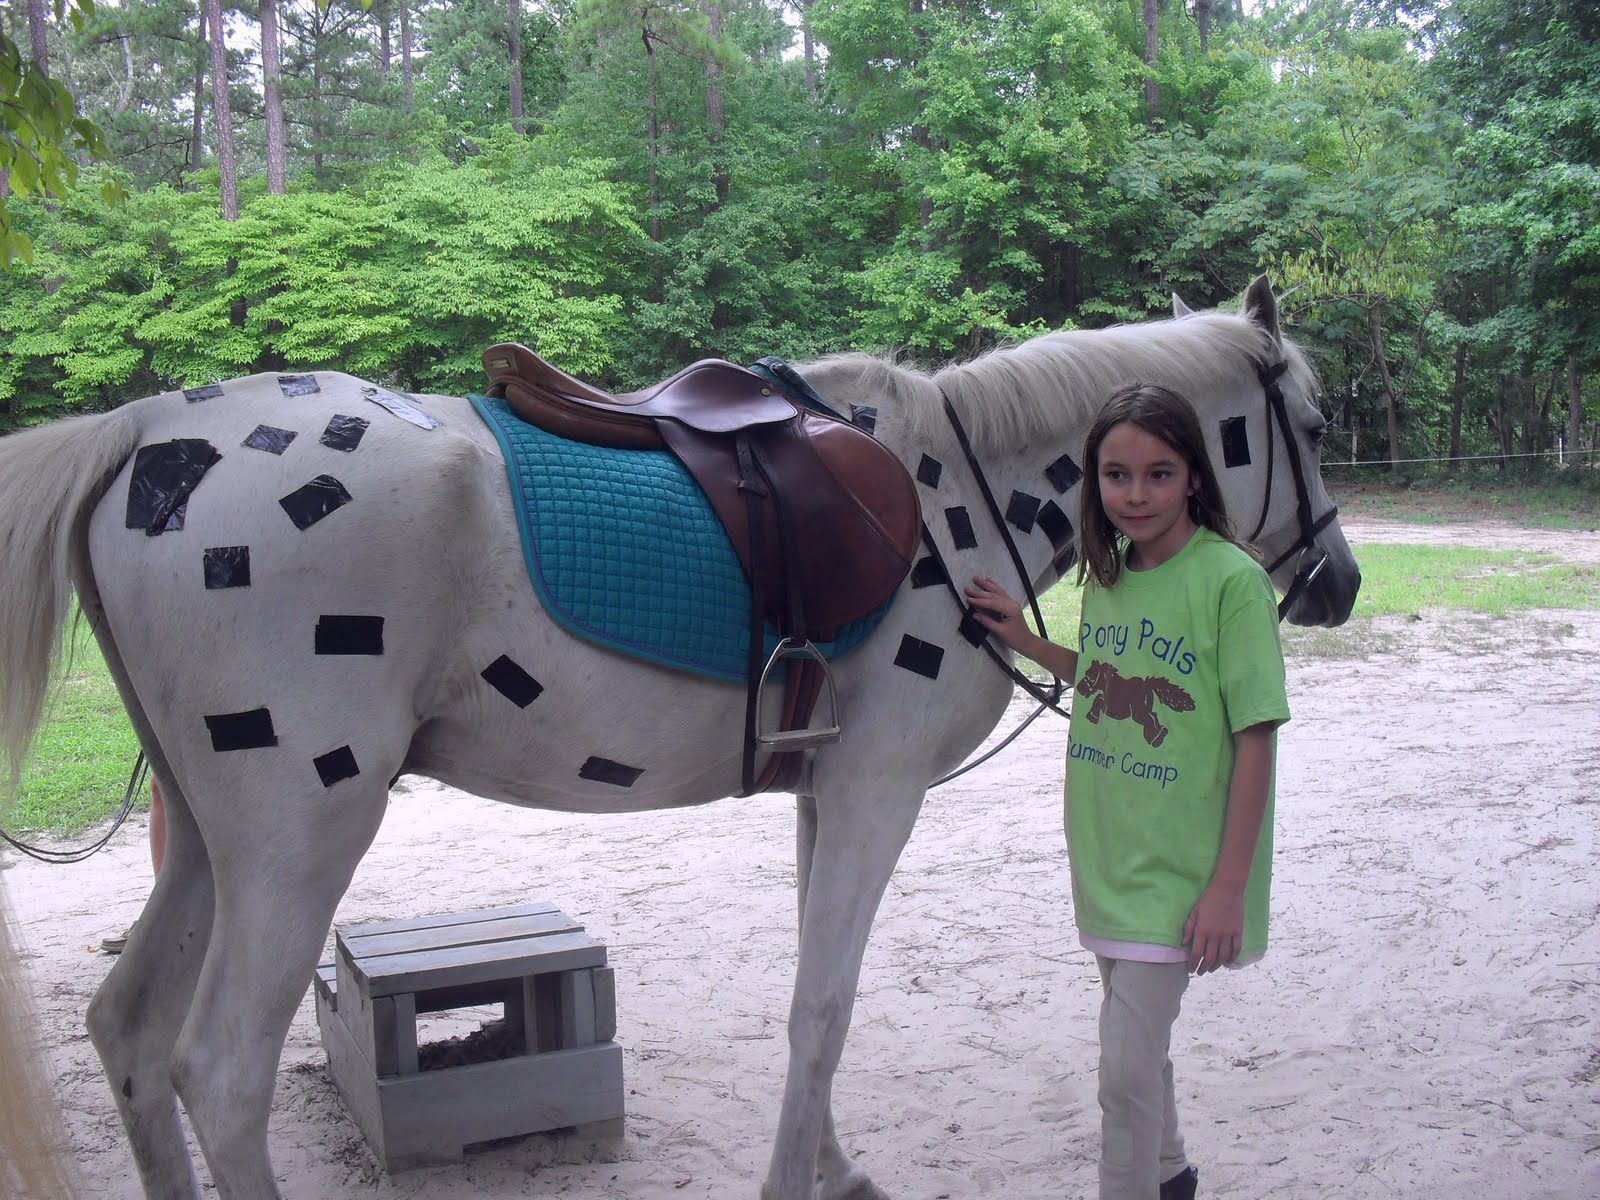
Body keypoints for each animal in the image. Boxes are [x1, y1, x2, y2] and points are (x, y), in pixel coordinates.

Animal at [0, 276, 1359, 1200]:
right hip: (300, 836)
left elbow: (818, 997)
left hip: (207, 838)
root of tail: (139, 435)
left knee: (128, 1031)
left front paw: (832, 1167)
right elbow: (825, 1004)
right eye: (1308, 420)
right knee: (219, 1071)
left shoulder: (821, 794)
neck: (949, 495)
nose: (1338, 583)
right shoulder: (874, 794)